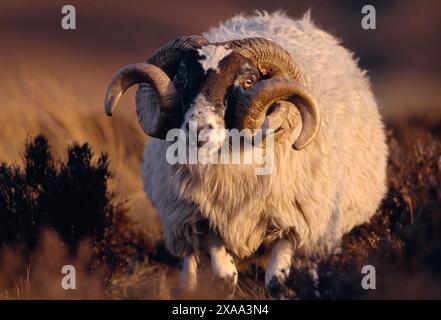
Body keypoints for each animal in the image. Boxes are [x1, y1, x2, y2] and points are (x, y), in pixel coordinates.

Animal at [103, 11, 384, 298]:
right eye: (181, 78)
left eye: (248, 81)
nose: (197, 130)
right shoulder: (204, 221)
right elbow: (225, 277)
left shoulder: (291, 223)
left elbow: (276, 281)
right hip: (178, 220)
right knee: (189, 262)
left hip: (322, 231)